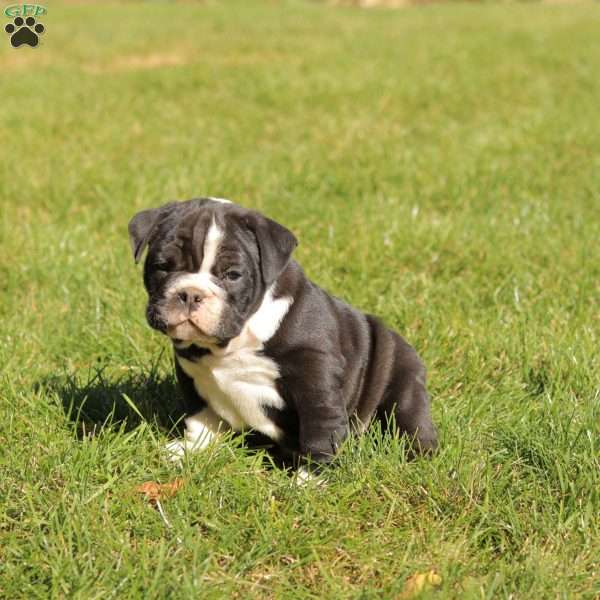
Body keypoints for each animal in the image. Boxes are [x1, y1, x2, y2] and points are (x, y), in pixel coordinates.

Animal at [129, 199, 436, 472]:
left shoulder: (315, 379)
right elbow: (199, 417)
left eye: (233, 274)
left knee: (410, 421)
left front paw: (310, 479)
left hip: (403, 386)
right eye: (162, 267)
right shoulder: (191, 375)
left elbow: (319, 430)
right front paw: (190, 449)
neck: (233, 343)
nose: (191, 294)